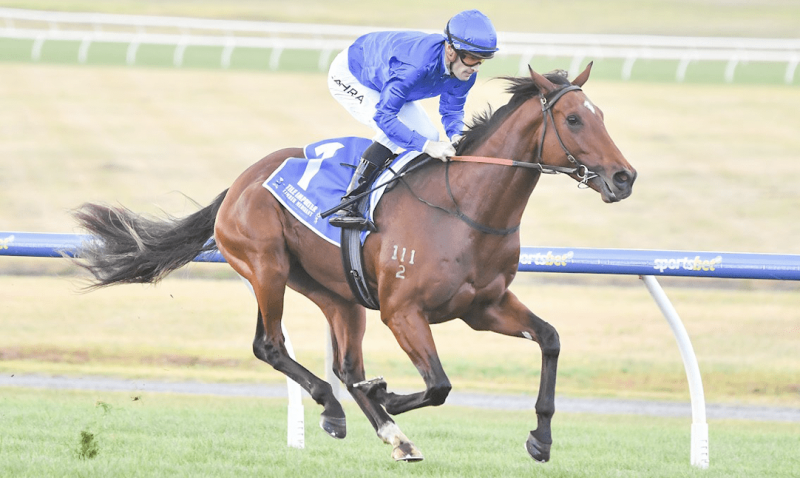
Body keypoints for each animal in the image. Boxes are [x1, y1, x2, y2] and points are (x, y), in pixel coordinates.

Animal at [73, 63, 636, 463]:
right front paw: (386, 395)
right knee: (271, 345)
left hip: (336, 293)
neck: (466, 208)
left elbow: (550, 340)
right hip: (267, 267)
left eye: (603, 117)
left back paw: (385, 430)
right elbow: (438, 385)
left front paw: (541, 438)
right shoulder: (402, 311)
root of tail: (240, 182)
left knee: (345, 364)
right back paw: (345, 411)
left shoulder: (485, 307)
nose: (624, 177)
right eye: (573, 119)